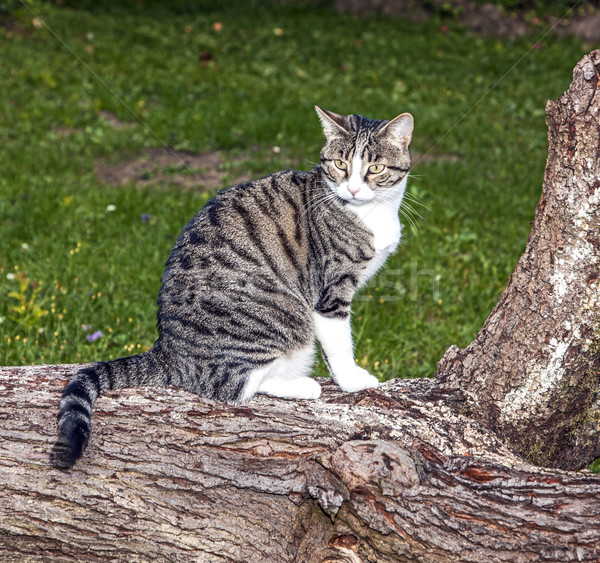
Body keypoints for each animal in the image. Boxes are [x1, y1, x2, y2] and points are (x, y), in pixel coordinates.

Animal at [50, 108, 412, 470]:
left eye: (375, 169)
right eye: (339, 164)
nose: (352, 189)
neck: (371, 213)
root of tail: (168, 349)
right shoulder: (331, 288)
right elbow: (338, 343)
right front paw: (351, 380)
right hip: (283, 317)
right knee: (237, 385)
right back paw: (302, 386)